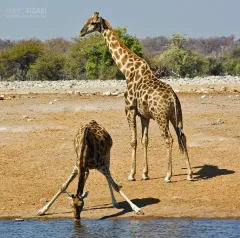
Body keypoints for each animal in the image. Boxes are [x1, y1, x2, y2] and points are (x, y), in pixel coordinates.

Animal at [80, 12, 193, 182]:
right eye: (86, 20)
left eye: (93, 23)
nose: (81, 32)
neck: (126, 70)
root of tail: (173, 98)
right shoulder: (144, 115)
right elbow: (144, 140)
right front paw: (145, 173)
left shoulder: (130, 109)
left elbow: (133, 141)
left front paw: (131, 174)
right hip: (175, 116)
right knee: (183, 137)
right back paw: (189, 174)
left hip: (161, 117)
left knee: (169, 139)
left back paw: (168, 176)